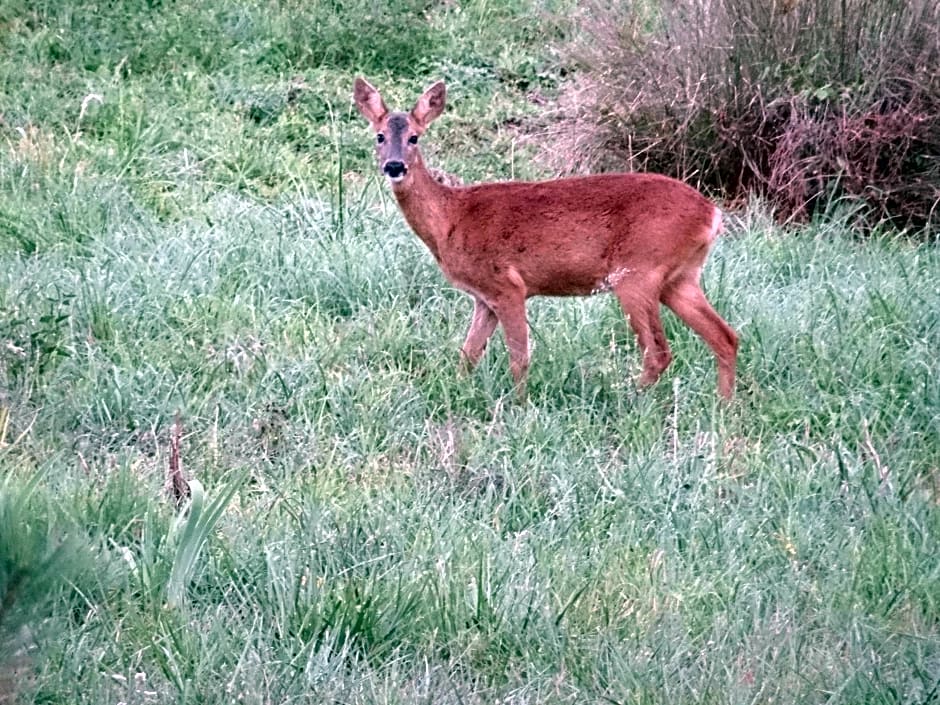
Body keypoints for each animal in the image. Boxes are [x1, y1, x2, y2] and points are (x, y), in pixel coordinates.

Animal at [354, 79, 740, 398]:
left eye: (415, 137)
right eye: (379, 136)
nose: (394, 166)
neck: (452, 219)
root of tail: (711, 214)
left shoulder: (508, 285)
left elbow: (519, 357)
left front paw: (518, 405)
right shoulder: (484, 298)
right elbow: (468, 354)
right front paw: (457, 393)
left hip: (638, 272)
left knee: (659, 351)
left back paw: (628, 398)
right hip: (680, 278)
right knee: (725, 336)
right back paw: (723, 407)